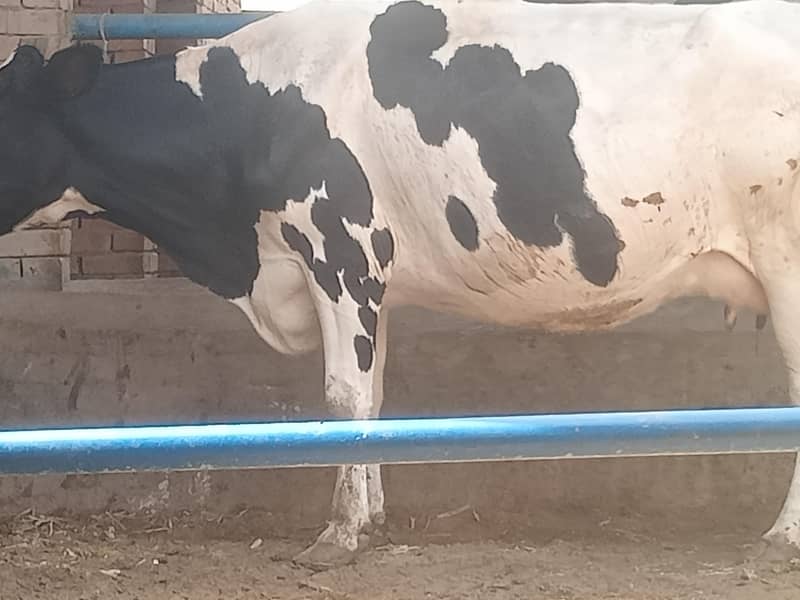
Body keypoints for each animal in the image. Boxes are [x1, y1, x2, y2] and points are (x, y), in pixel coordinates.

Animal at [1, 0, 799, 569]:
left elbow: (342, 397)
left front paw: (339, 535)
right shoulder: (366, 280)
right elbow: (374, 396)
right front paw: (374, 519)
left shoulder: (339, 255)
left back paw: (781, 536)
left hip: (786, 261)